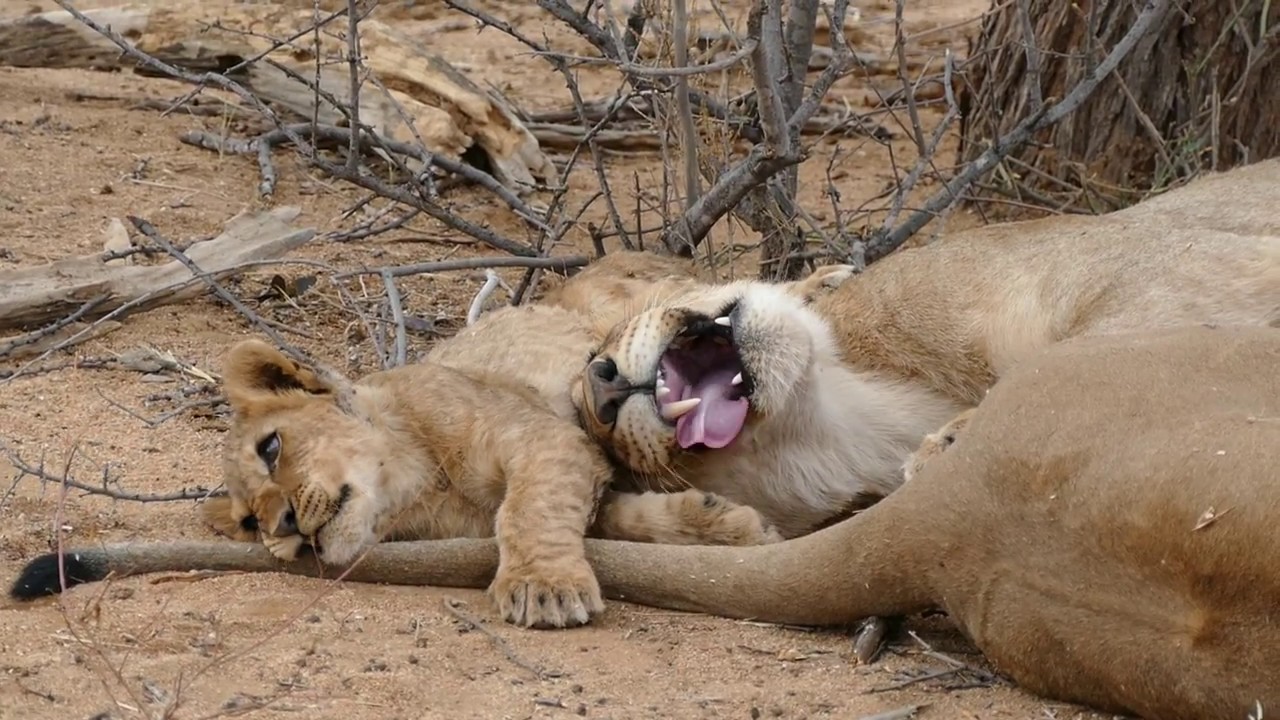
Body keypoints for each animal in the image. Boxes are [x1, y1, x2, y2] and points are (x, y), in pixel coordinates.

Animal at [15, 324, 1280, 719]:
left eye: (272, 453)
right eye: (240, 523)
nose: (282, 535)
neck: (419, 485)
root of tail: (961, 526)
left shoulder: (549, 440)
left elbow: (551, 510)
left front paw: (549, 578)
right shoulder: (588, 452)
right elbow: (630, 520)